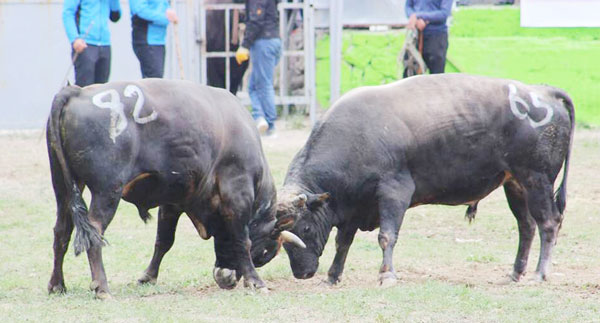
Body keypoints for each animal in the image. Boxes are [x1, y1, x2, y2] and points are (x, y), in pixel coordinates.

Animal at [45, 79, 304, 300]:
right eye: (264, 254)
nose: (227, 279)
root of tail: (78, 91)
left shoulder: (173, 202)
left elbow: (164, 241)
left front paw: (148, 276)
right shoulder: (237, 194)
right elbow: (243, 240)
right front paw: (255, 281)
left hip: (64, 187)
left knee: (61, 230)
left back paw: (57, 284)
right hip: (107, 191)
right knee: (95, 231)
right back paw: (101, 287)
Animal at [258, 74, 576, 288]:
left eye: (305, 227)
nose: (301, 273)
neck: (356, 138)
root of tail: (541, 92)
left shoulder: (393, 192)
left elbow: (386, 236)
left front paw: (387, 275)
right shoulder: (353, 204)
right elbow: (343, 242)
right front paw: (333, 276)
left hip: (536, 180)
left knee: (549, 223)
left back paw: (539, 273)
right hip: (515, 185)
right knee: (527, 227)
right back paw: (515, 273)